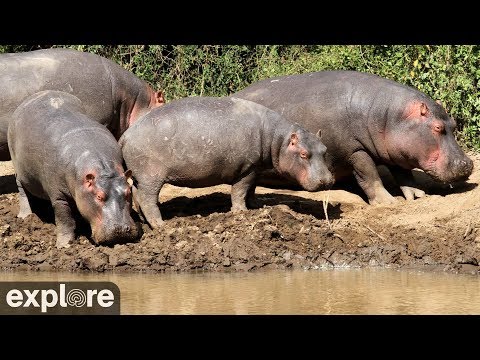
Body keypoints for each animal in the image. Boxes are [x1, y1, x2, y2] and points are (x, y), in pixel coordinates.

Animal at [8, 89, 141, 248]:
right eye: (99, 196)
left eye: (128, 192)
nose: (120, 230)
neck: (103, 169)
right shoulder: (59, 197)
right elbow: (65, 220)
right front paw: (64, 245)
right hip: (17, 168)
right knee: (22, 191)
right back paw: (25, 216)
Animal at [118, 97, 334, 229]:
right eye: (304, 154)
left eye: (324, 149)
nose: (327, 180)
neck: (278, 139)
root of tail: (125, 136)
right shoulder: (247, 169)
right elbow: (239, 191)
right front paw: (241, 212)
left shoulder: (255, 168)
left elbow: (252, 189)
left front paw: (257, 205)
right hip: (151, 177)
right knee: (147, 199)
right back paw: (161, 225)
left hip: (140, 177)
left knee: (137, 196)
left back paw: (146, 222)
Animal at [232, 70, 472, 205]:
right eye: (437, 127)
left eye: (453, 123)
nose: (467, 164)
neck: (389, 117)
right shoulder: (354, 150)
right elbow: (369, 175)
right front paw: (388, 203)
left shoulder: (396, 150)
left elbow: (404, 174)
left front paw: (419, 195)